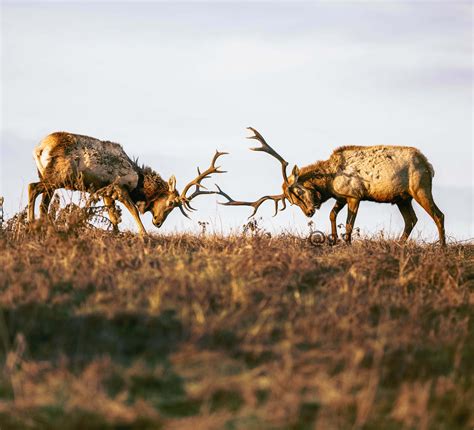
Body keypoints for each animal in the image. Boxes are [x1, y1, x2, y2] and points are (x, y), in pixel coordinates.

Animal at [28, 132, 228, 235]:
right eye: (171, 203)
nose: (157, 222)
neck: (139, 184)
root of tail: (39, 149)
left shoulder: (105, 192)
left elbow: (113, 216)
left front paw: (116, 233)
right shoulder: (119, 188)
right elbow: (133, 212)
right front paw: (144, 235)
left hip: (50, 179)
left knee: (44, 203)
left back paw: (42, 225)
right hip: (58, 177)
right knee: (32, 187)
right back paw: (30, 222)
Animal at [217, 127, 446, 245]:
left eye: (298, 190)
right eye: (292, 201)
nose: (309, 212)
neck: (328, 182)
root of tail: (429, 165)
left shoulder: (354, 195)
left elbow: (349, 224)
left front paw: (347, 243)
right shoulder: (341, 197)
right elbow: (332, 215)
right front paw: (334, 240)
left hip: (420, 188)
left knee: (438, 215)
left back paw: (442, 246)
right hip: (402, 197)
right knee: (411, 219)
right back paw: (398, 244)